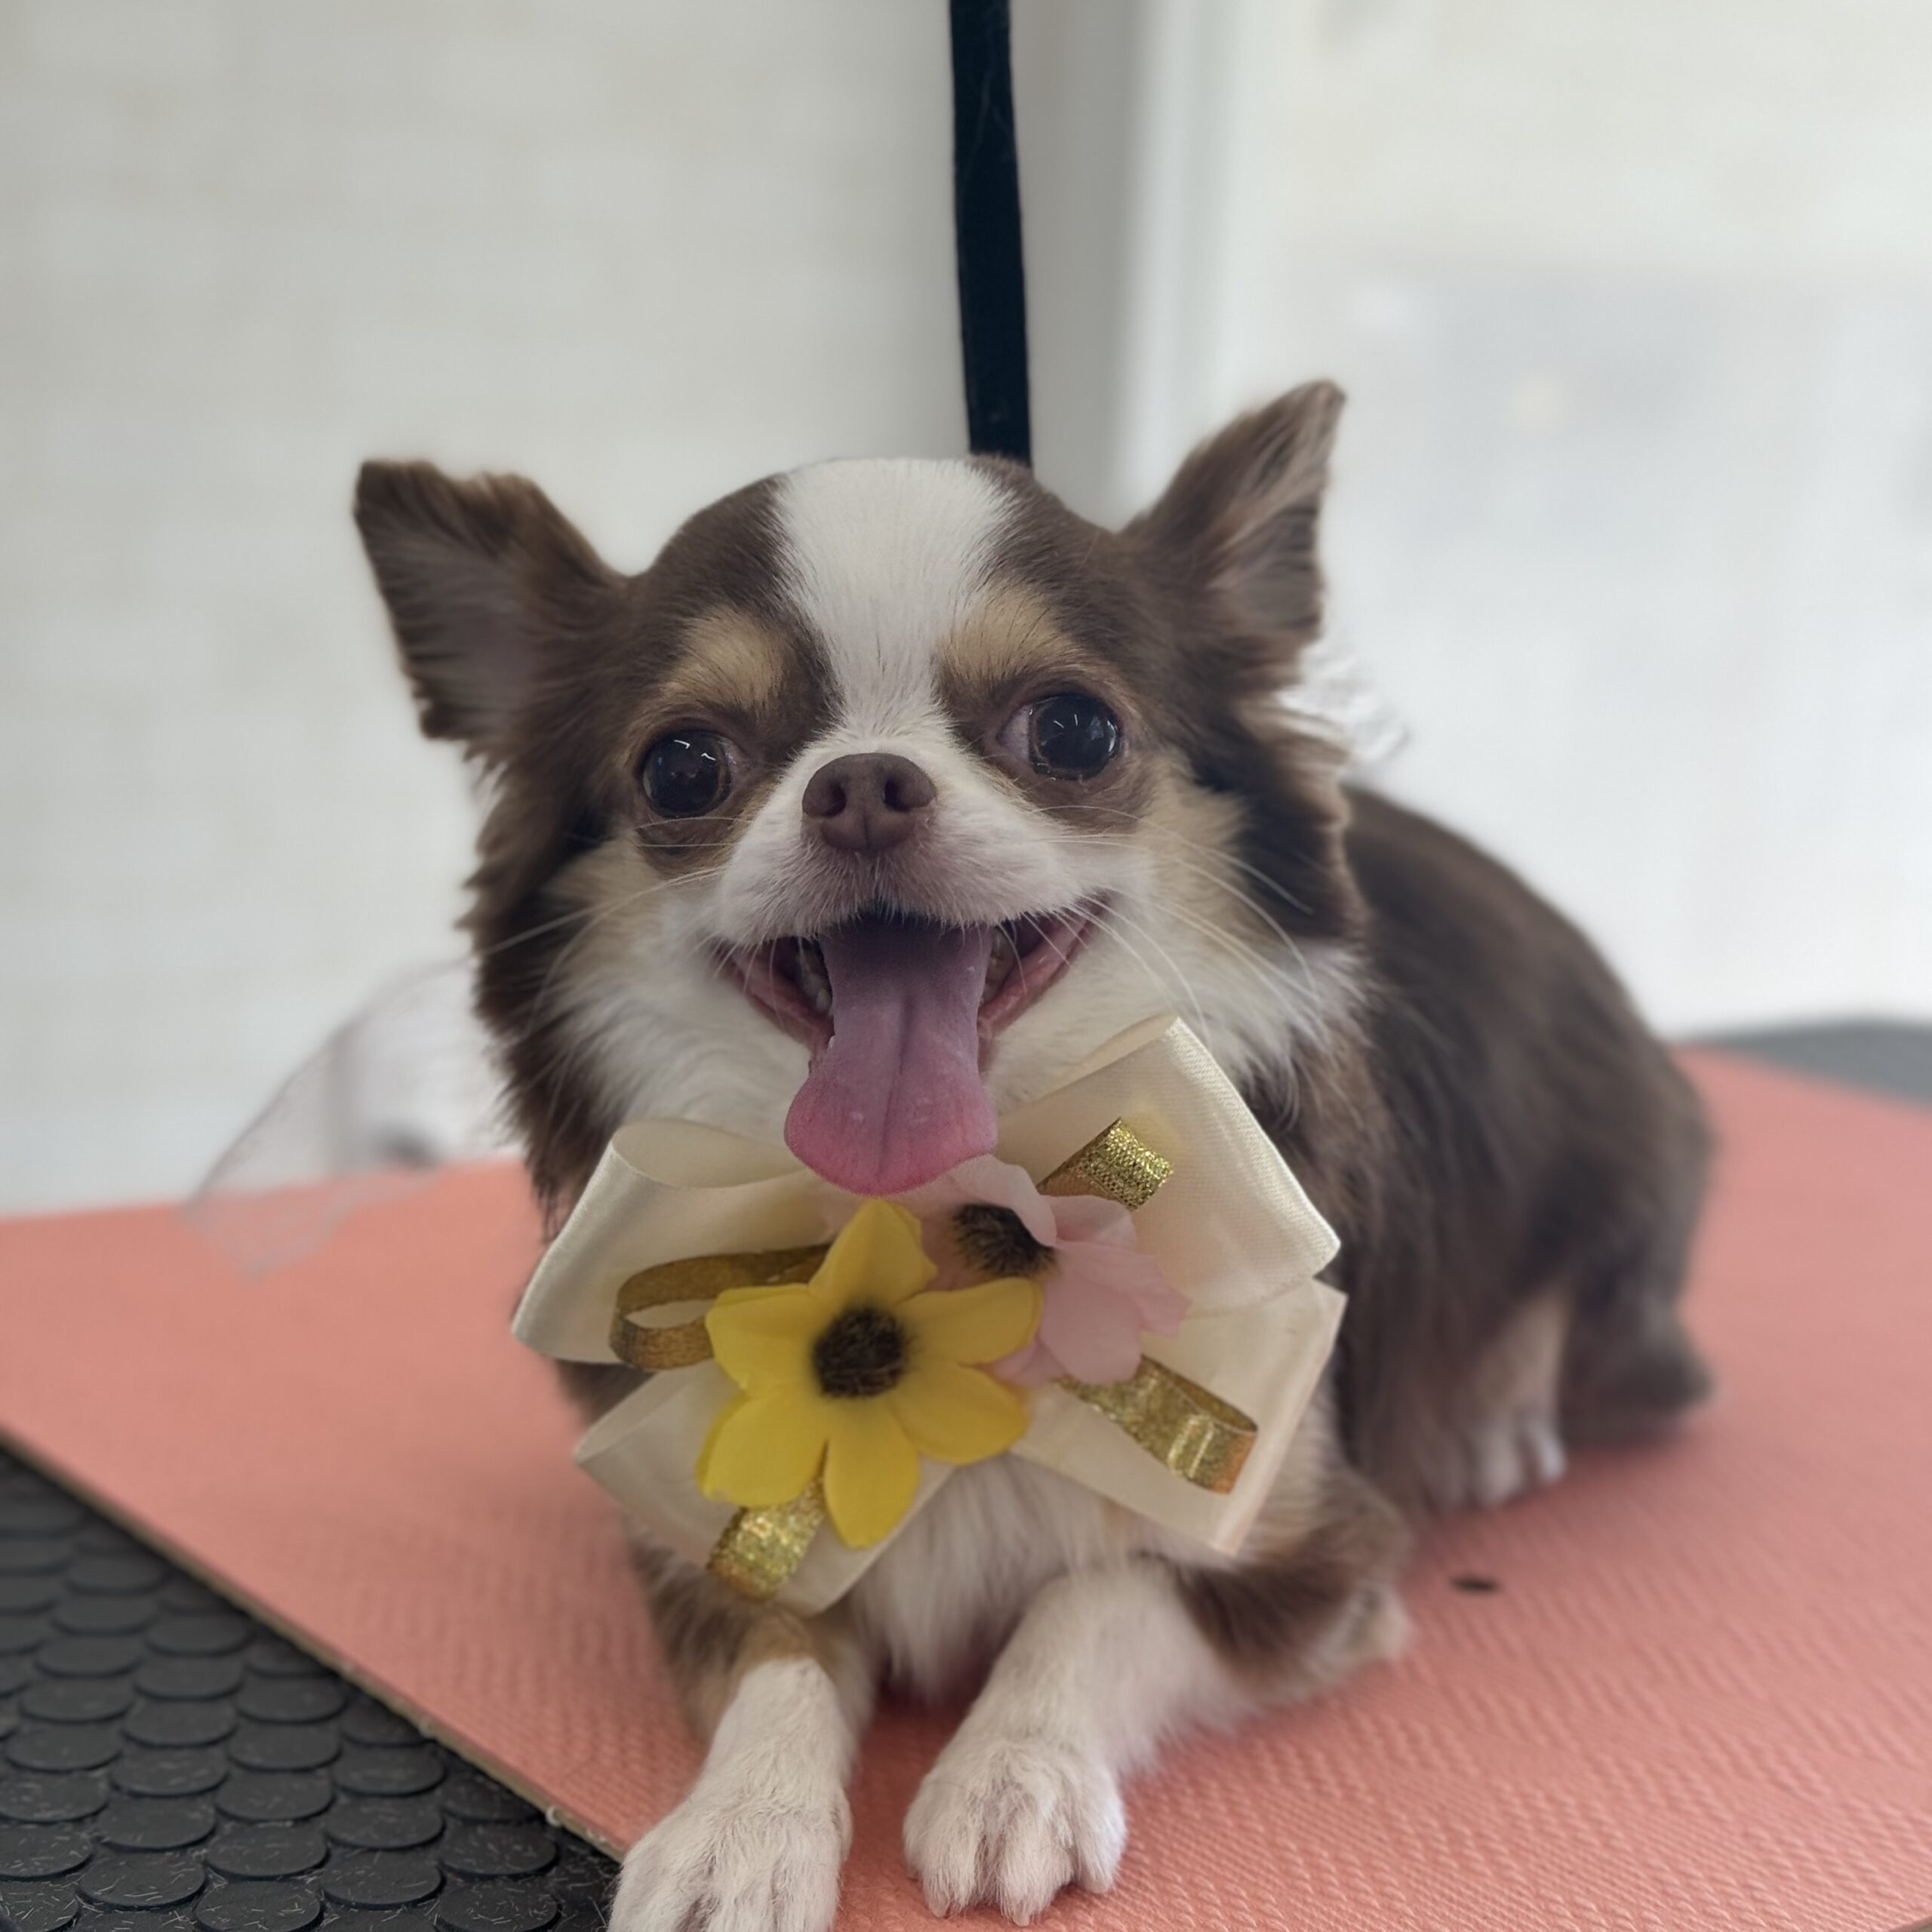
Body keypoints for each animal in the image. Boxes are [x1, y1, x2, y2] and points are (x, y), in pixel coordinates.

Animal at [353, 382, 1711, 1932]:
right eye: (683, 765)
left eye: (1070, 731)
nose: (862, 784)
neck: (937, 1217)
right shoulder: (693, 1524)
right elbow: (780, 1657)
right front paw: (738, 1827)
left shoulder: (1308, 1551)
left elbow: (1099, 1596)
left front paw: (1012, 1773)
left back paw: (1493, 1421)